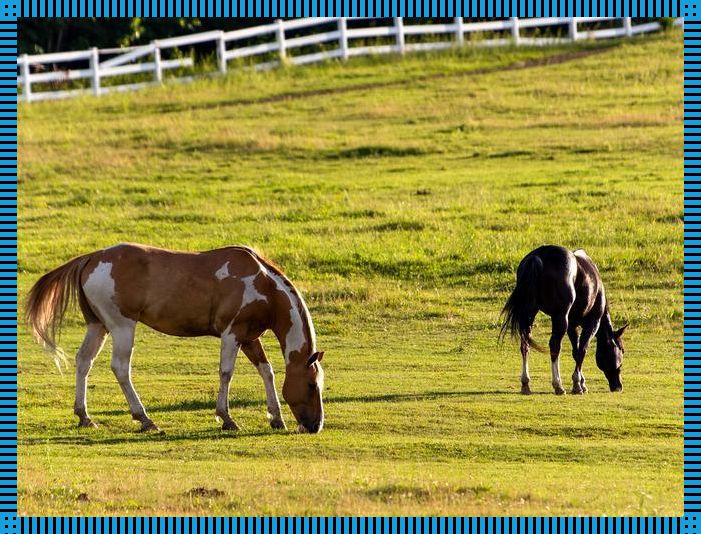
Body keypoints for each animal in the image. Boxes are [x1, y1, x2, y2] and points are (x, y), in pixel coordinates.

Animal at [24, 243, 326, 436]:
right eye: (312, 385)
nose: (315, 426)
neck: (263, 284)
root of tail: (92, 257)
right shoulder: (232, 334)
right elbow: (226, 373)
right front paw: (226, 418)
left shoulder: (250, 337)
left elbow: (267, 371)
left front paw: (276, 417)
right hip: (122, 326)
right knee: (121, 368)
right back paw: (145, 419)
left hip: (98, 326)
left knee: (83, 361)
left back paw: (84, 416)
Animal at [500, 246, 628, 394]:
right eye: (621, 349)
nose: (618, 386)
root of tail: (538, 257)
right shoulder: (592, 323)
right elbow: (582, 350)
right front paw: (578, 384)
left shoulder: (572, 325)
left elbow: (575, 351)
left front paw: (581, 383)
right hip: (560, 317)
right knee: (555, 346)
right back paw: (558, 385)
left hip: (530, 312)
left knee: (525, 344)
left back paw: (526, 384)